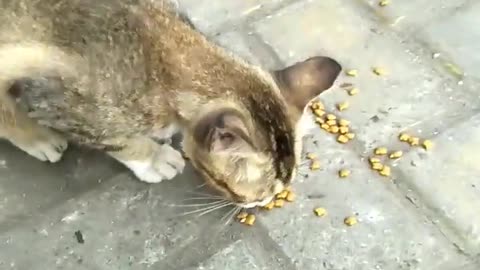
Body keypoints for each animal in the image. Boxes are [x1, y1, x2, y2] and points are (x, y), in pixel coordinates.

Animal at [0, 0, 344, 208]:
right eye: (232, 188)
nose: (262, 203)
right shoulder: (59, 100)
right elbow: (119, 140)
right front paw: (154, 158)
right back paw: (37, 138)